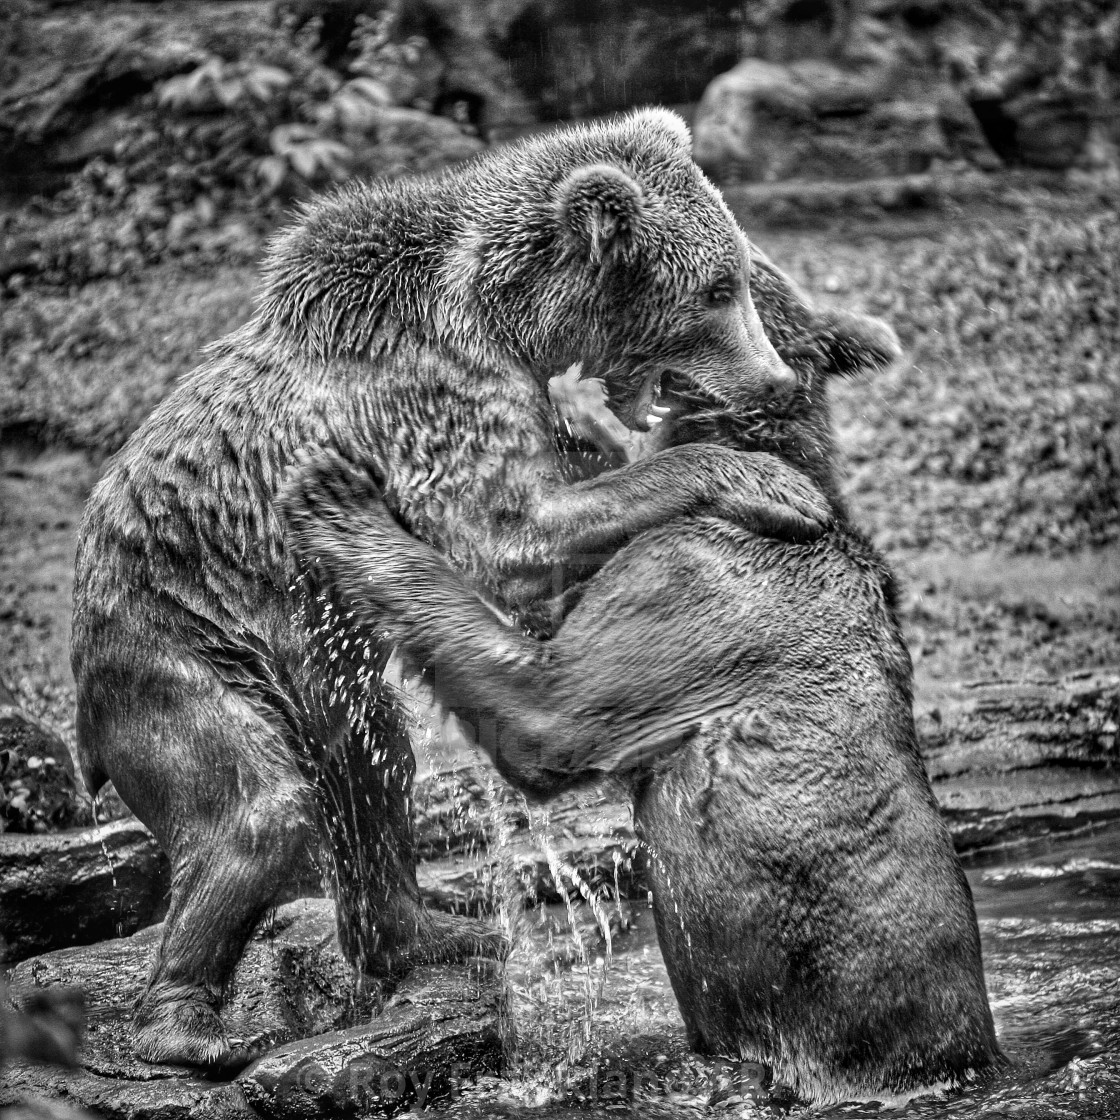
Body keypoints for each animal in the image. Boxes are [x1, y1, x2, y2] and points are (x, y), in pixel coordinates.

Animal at [67, 109, 833, 1070]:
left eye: (735, 272)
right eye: (716, 288)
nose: (775, 380)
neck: (511, 321)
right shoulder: (434, 393)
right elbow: (506, 530)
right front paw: (768, 481)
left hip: (307, 672)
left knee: (372, 770)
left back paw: (440, 932)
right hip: (175, 645)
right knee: (252, 809)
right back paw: (188, 1028)